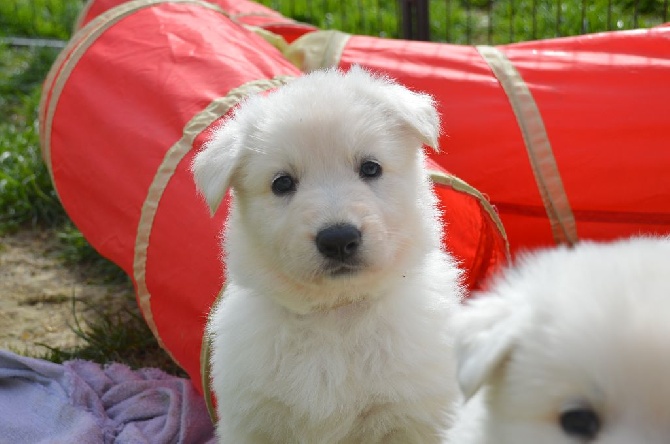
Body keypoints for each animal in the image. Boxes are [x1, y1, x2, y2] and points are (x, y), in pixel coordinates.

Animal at [194, 67, 464, 444]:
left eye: (370, 168)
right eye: (282, 183)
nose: (338, 239)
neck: (335, 315)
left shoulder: (412, 417)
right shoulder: (254, 419)